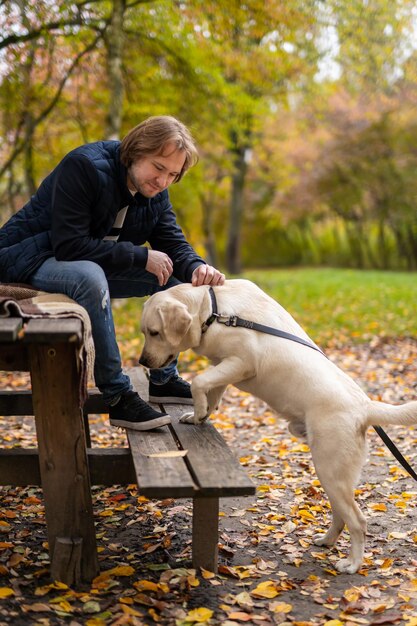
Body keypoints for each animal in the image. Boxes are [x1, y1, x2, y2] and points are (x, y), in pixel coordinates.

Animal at [139, 280, 416, 572]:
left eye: (155, 332)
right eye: (145, 332)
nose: (142, 362)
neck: (212, 311)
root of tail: (364, 406)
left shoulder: (241, 362)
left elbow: (199, 381)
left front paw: (200, 409)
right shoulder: (224, 367)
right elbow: (211, 390)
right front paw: (198, 415)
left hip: (330, 471)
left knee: (357, 521)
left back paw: (352, 564)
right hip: (333, 478)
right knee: (341, 517)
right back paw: (326, 541)